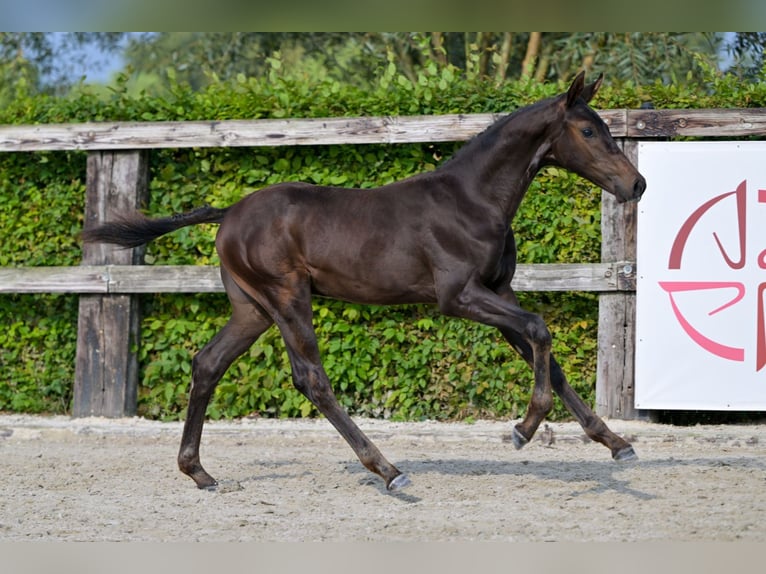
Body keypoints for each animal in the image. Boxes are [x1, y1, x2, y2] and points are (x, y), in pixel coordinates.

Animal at [82, 72, 648, 492]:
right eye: (589, 132)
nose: (636, 184)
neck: (471, 199)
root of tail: (228, 214)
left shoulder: (497, 291)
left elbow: (545, 356)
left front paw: (616, 443)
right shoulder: (459, 296)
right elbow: (539, 330)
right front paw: (524, 430)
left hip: (252, 309)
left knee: (207, 364)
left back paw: (199, 472)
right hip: (286, 297)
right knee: (311, 378)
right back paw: (388, 470)